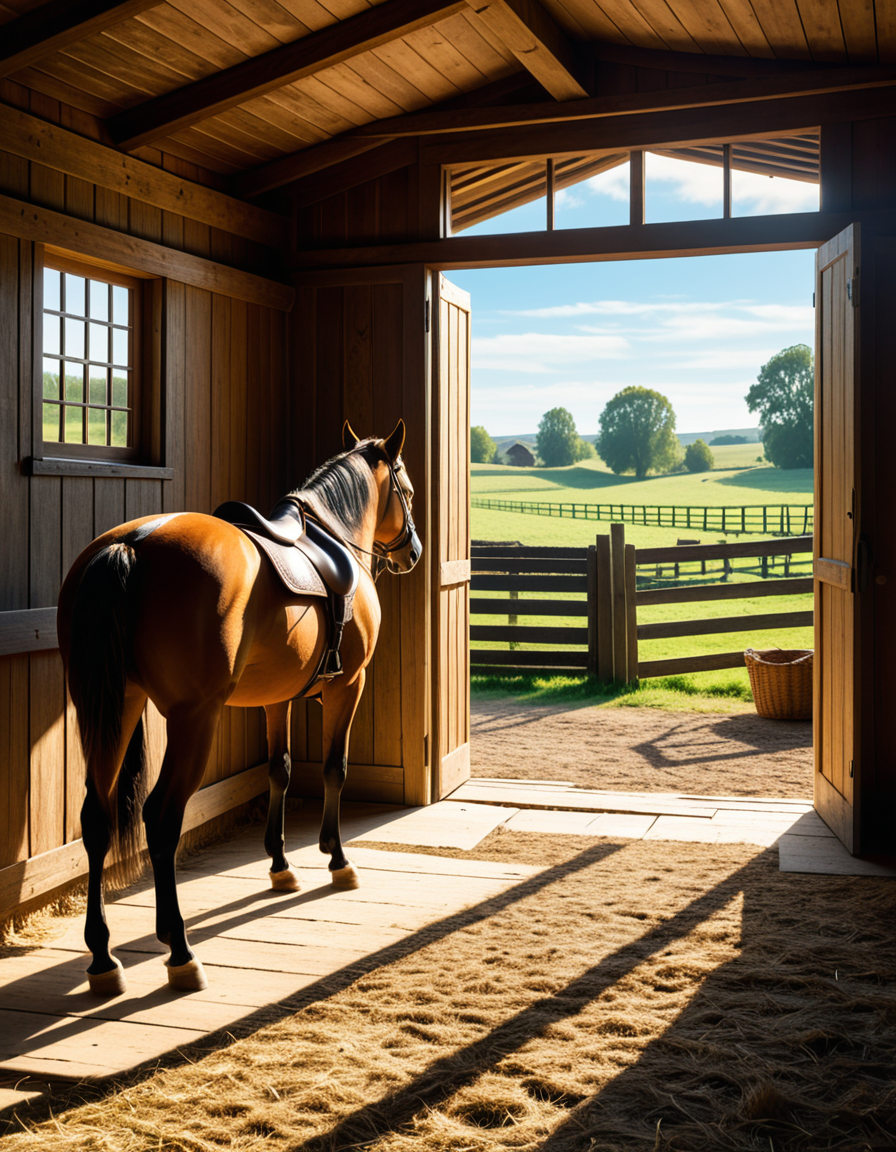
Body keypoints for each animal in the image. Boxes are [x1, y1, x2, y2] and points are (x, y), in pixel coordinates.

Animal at [57, 419, 420, 996]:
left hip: (116, 709)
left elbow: (280, 770)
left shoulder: (276, 700)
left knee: (97, 817)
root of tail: (130, 546)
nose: (415, 551)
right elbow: (335, 769)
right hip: (193, 720)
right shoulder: (349, 686)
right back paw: (179, 950)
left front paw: (279, 863)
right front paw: (336, 858)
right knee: (162, 817)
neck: (333, 534)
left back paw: (102, 958)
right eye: (406, 489)